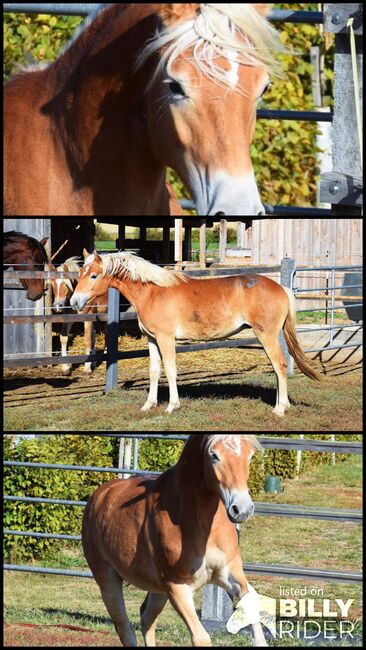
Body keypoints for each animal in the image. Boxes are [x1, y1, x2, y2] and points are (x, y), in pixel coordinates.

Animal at [71, 248, 320, 416]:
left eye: (93, 275)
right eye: (80, 274)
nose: (74, 302)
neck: (153, 291)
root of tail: (281, 288)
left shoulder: (166, 338)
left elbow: (170, 370)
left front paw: (172, 406)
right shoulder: (152, 339)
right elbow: (154, 371)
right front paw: (148, 405)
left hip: (266, 336)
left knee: (280, 366)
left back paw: (280, 409)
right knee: (278, 368)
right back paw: (279, 404)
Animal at [82, 430, 266, 644]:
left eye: (250, 456)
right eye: (214, 455)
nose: (242, 509)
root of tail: (99, 496)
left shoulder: (230, 574)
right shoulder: (177, 587)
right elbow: (201, 638)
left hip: (157, 590)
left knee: (146, 617)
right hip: (108, 582)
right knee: (124, 628)